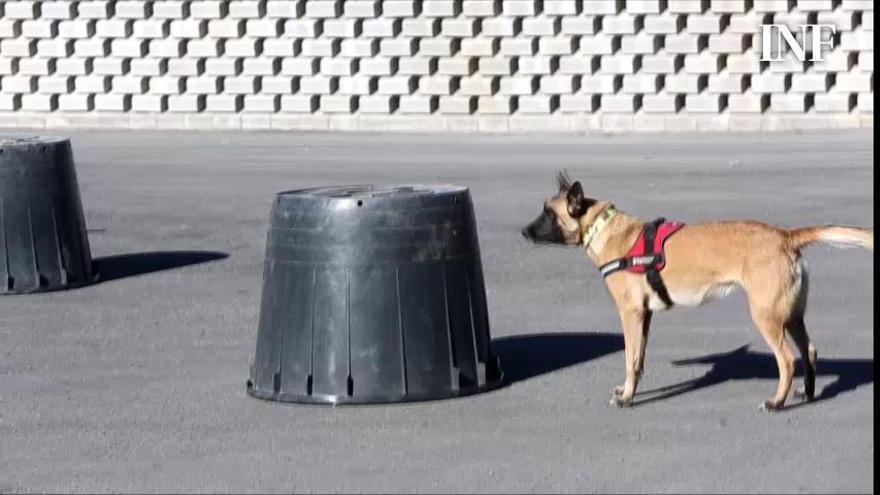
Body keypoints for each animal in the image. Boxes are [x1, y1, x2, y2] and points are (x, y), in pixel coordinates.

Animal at [524, 172, 872, 412]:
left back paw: (777, 402)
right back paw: (808, 393)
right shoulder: (644, 317)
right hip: (791, 314)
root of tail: (785, 236)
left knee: (787, 360)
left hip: (767, 316)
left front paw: (628, 398)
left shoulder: (630, 314)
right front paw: (628, 390)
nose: (524, 232)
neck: (604, 228)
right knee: (809, 350)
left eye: (548, 213)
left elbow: (629, 360)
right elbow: (639, 360)